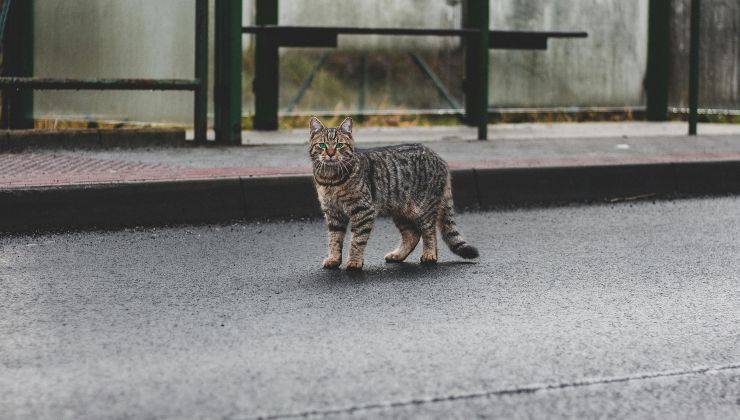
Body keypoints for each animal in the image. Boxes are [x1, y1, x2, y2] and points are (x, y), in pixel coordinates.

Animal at [308, 116, 476, 270]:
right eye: (322, 145)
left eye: (339, 145)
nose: (330, 153)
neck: (330, 179)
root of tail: (439, 158)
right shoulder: (333, 213)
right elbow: (334, 239)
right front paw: (334, 259)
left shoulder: (363, 210)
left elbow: (357, 239)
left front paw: (354, 261)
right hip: (401, 211)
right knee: (412, 235)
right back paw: (397, 255)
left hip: (423, 208)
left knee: (429, 231)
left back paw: (429, 255)